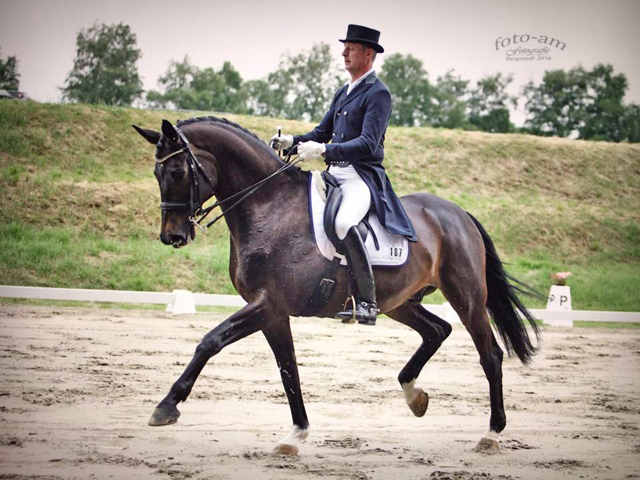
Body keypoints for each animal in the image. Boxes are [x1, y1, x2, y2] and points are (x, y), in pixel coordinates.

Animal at [134, 116, 540, 454]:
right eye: (156, 172)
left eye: (177, 171)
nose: (172, 237)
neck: (269, 206)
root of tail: (458, 213)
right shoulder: (273, 313)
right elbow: (288, 370)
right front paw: (295, 434)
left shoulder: (267, 304)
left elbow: (210, 341)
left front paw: (166, 406)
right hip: (400, 302)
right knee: (437, 330)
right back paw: (414, 395)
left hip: (466, 296)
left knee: (490, 355)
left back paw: (491, 433)